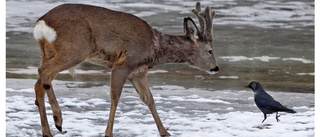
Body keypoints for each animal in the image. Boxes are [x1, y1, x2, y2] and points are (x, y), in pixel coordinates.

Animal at [34, 2, 220, 137]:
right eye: (210, 51)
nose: (216, 68)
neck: (154, 47)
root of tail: (41, 23)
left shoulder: (138, 73)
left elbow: (149, 99)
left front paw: (165, 133)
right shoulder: (123, 64)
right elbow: (115, 97)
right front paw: (108, 133)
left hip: (49, 52)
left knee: (39, 83)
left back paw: (47, 132)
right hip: (75, 49)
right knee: (44, 72)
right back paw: (58, 120)